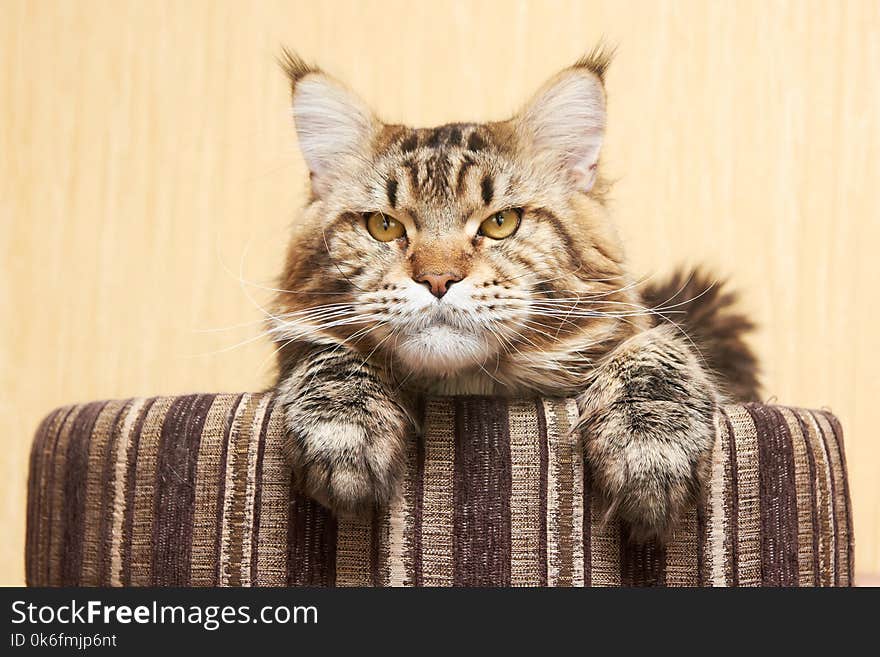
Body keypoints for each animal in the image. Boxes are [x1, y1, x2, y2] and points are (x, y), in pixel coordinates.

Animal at [268, 47, 756, 544]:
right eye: (383, 226)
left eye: (501, 223)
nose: (438, 279)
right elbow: (330, 355)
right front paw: (343, 425)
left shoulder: (645, 337)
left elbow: (654, 349)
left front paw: (651, 442)